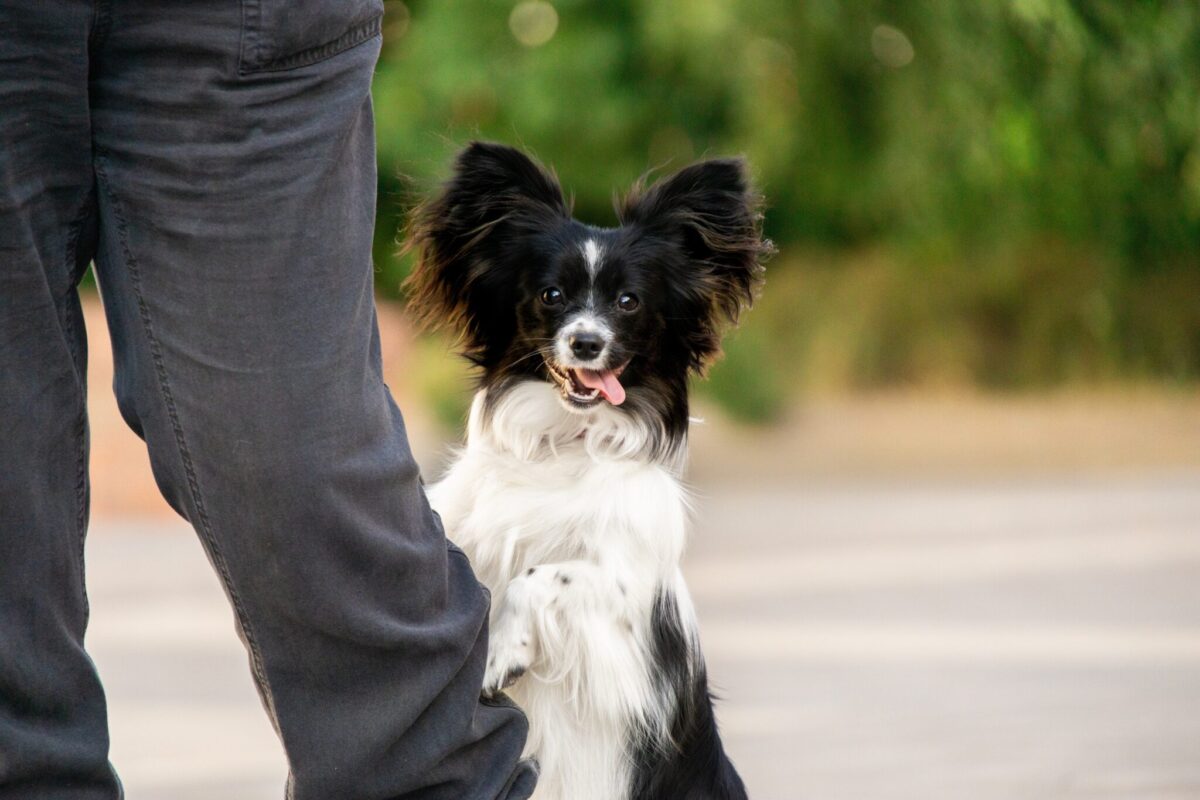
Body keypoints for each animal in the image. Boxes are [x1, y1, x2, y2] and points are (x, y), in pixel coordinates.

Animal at [408, 143, 772, 800]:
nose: (585, 343)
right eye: (551, 295)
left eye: (629, 302)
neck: (564, 443)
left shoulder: (626, 622)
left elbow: (542, 574)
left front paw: (501, 652)